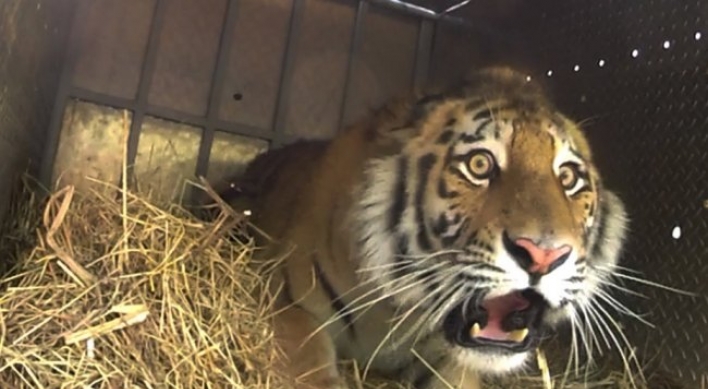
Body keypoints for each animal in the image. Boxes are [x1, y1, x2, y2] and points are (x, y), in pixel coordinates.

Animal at [213, 67, 628, 388]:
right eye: (479, 165)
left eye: (569, 177)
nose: (543, 255)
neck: (395, 314)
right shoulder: (285, 304)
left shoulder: (452, 361)